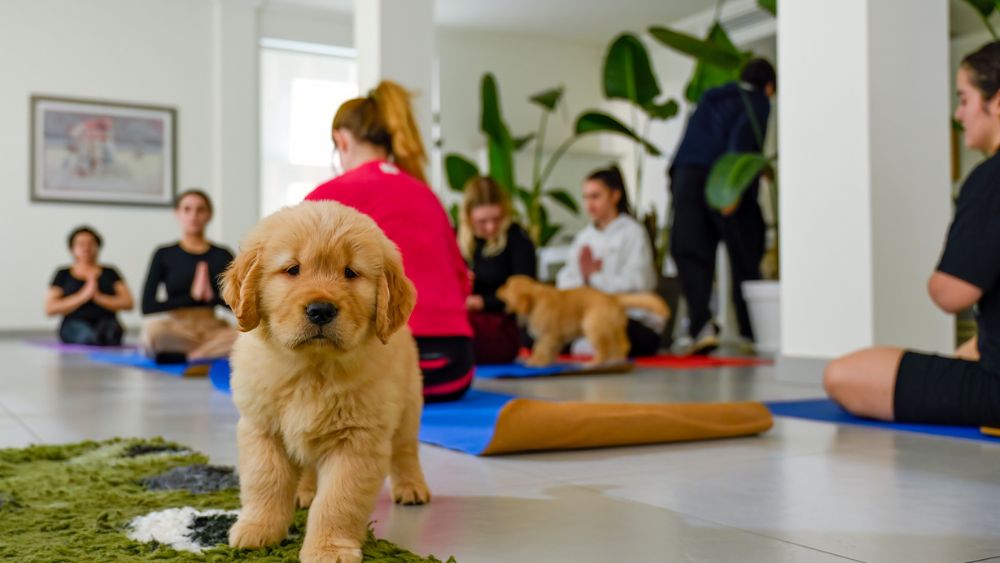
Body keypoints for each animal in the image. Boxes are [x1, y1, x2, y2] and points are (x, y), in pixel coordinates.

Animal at [221, 200, 428, 560]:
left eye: (351, 272)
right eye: (292, 269)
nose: (321, 310)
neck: (311, 370)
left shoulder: (358, 440)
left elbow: (337, 500)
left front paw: (329, 548)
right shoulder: (262, 428)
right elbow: (265, 482)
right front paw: (258, 528)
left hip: (408, 406)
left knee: (405, 450)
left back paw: (411, 487)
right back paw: (302, 491)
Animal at [496, 276, 668, 368]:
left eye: (507, 286)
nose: (498, 289)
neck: (535, 300)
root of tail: (612, 298)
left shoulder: (548, 335)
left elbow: (541, 348)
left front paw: (537, 362)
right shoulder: (555, 338)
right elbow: (547, 350)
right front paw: (544, 361)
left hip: (593, 326)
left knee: (604, 350)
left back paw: (593, 363)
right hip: (615, 329)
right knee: (622, 345)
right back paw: (616, 361)